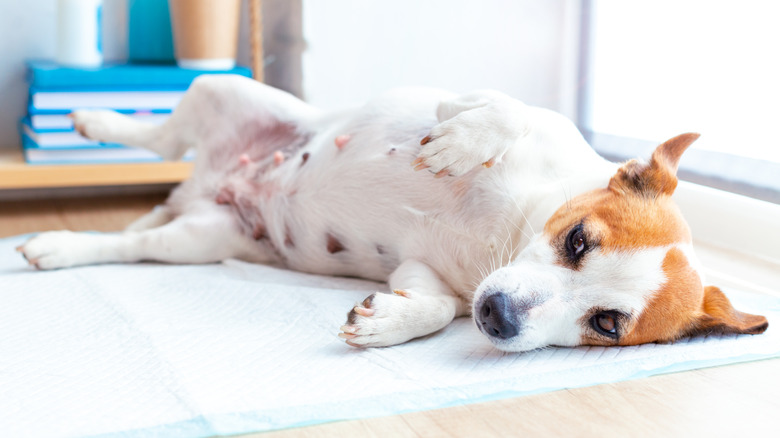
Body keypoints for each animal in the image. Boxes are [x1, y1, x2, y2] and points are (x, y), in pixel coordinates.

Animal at [16, 75, 768, 352]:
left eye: (607, 324)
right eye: (578, 240)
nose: (498, 316)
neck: (506, 234)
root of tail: (209, 182)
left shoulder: (423, 275)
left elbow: (433, 309)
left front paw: (385, 324)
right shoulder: (484, 104)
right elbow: (505, 110)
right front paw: (463, 144)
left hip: (203, 237)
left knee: (133, 244)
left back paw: (60, 245)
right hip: (225, 88)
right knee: (164, 137)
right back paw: (93, 119)